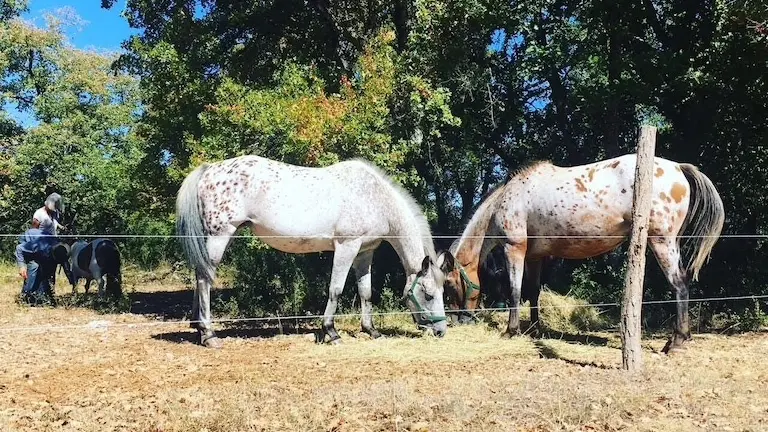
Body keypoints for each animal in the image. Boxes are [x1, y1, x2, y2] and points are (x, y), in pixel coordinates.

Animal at [177, 155, 452, 348]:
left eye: (442, 292)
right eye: (428, 294)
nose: (440, 331)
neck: (374, 198)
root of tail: (209, 170)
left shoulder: (365, 252)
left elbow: (365, 292)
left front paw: (371, 330)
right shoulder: (346, 247)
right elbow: (336, 289)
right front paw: (331, 332)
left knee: (200, 276)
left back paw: (199, 329)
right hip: (220, 236)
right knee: (204, 279)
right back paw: (209, 335)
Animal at [444, 155, 728, 354]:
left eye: (449, 285)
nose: (457, 320)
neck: (507, 199)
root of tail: (678, 168)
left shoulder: (514, 248)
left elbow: (514, 291)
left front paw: (510, 331)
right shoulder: (535, 256)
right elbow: (533, 293)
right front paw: (535, 329)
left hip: (661, 242)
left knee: (679, 285)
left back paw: (675, 342)